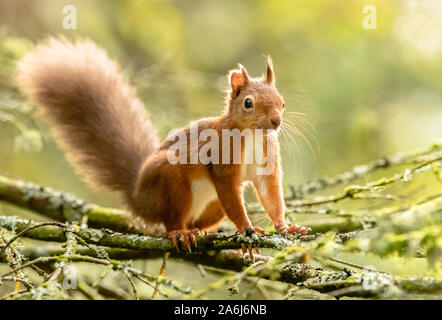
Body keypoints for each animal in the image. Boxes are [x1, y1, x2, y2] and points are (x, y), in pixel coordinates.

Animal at [15, 38, 310, 252]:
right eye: (248, 103)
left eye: (282, 101)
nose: (276, 121)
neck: (252, 135)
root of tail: (138, 197)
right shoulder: (222, 163)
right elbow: (232, 197)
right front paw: (247, 229)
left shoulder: (266, 164)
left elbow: (271, 195)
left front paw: (286, 227)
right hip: (170, 181)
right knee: (171, 219)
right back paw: (180, 232)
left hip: (212, 206)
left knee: (199, 219)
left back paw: (198, 230)